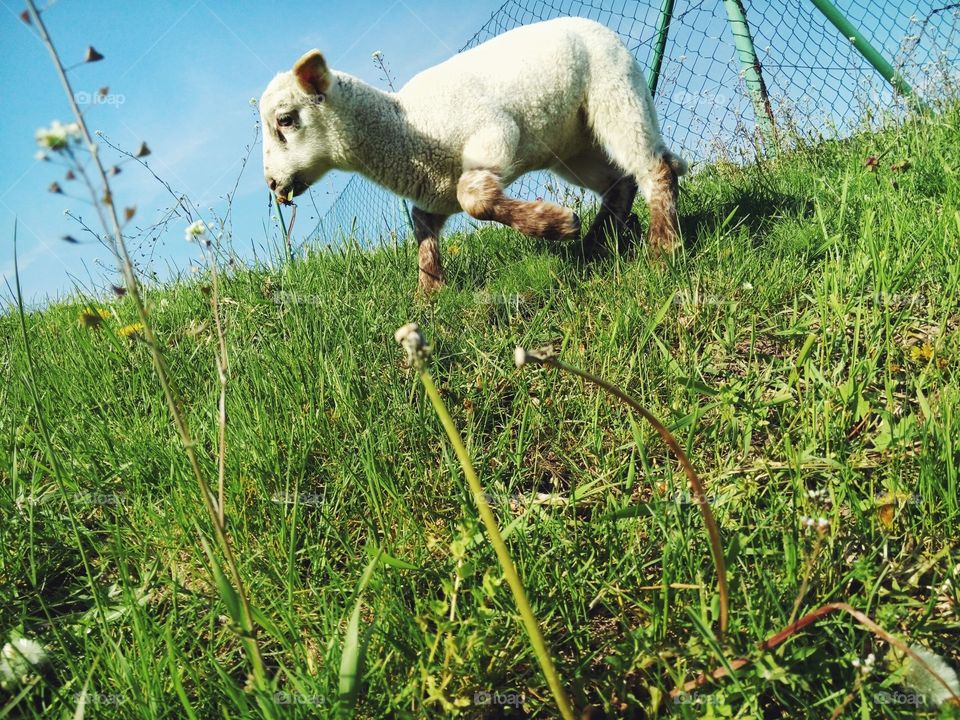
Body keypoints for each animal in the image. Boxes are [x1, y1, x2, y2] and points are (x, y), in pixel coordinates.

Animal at [258, 16, 688, 292]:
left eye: (285, 120)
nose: (273, 184)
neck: (408, 126)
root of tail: (595, 25)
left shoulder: (493, 135)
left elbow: (475, 199)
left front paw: (557, 223)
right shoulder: (435, 189)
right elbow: (422, 225)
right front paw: (429, 294)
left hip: (616, 91)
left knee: (655, 167)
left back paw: (661, 250)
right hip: (573, 145)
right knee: (620, 181)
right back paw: (597, 243)